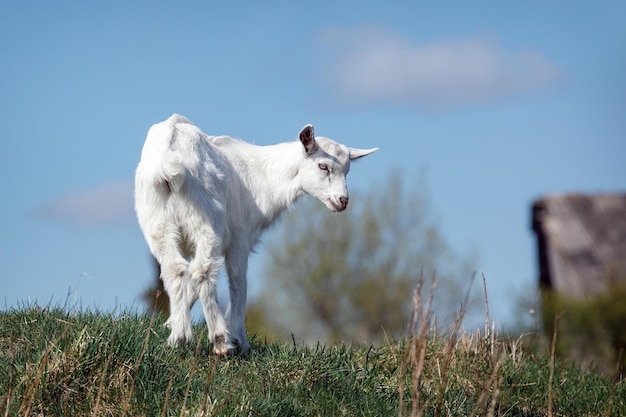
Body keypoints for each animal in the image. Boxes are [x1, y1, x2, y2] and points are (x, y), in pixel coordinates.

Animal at [134, 114, 376, 354]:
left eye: (347, 171)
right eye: (323, 166)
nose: (342, 201)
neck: (265, 177)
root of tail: (170, 148)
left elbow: (191, 283)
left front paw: (169, 324)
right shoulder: (240, 236)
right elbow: (238, 282)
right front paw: (240, 340)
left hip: (157, 221)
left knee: (176, 269)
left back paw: (179, 338)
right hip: (205, 218)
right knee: (203, 271)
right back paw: (221, 341)